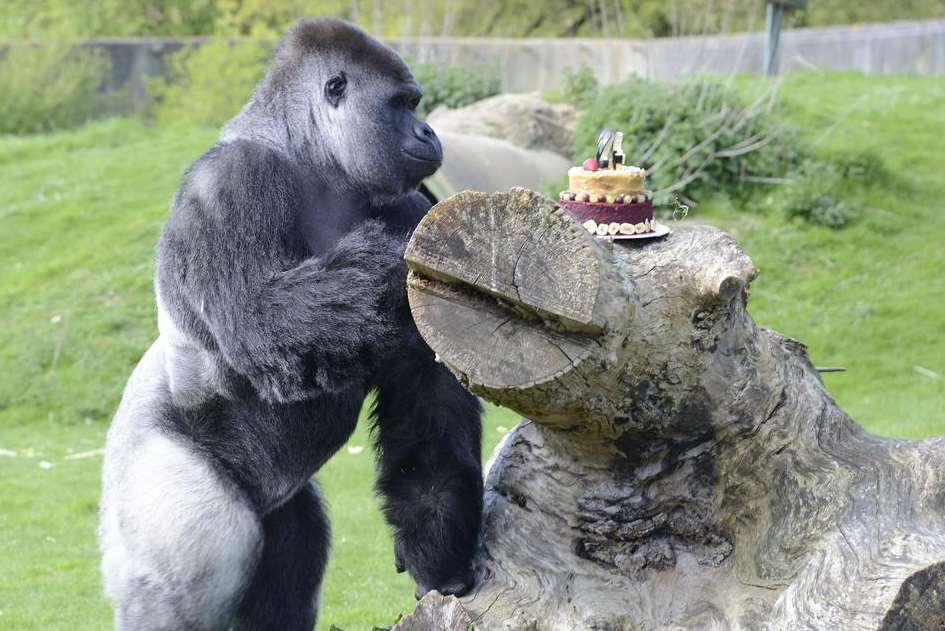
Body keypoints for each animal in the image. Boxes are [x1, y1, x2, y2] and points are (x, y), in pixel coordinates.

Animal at [99, 17, 484, 628]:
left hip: (278, 512)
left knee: (294, 545)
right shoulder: (230, 182)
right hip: (150, 481)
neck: (312, 160)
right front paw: (393, 252)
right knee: (184, 577)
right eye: (403, 104)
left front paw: (439, 554)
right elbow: (260, 321)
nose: (428, 131)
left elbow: (430, 417)